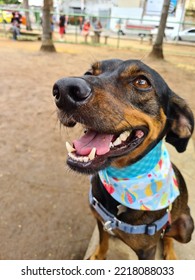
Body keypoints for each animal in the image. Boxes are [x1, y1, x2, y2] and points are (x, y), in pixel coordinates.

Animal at [52, 59, 194, 260]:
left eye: (142, 82)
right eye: (89, 72)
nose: (64, 89)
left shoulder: (147, 251)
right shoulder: (100, 219)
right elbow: (103, 241)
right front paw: (97, 256)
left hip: (187, 226)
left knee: (168, 234)